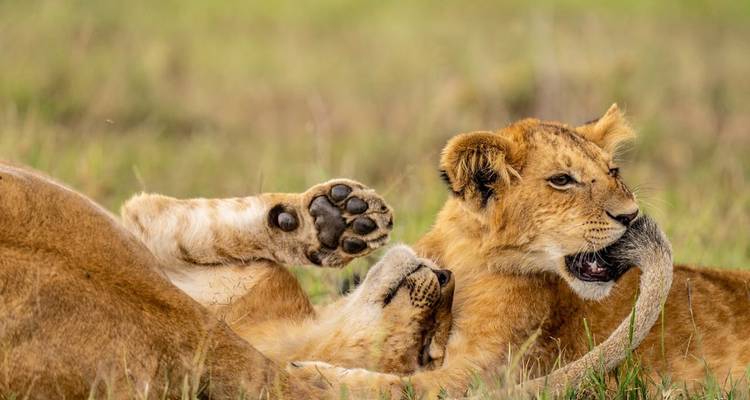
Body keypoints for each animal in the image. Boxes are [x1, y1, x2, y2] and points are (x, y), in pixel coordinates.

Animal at [284, 105, 750, 397]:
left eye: (613, 171)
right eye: (562, 180)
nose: (632, 215)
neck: (468, 258)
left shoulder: (481, 377)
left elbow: (395, 386)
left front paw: (312, 375)